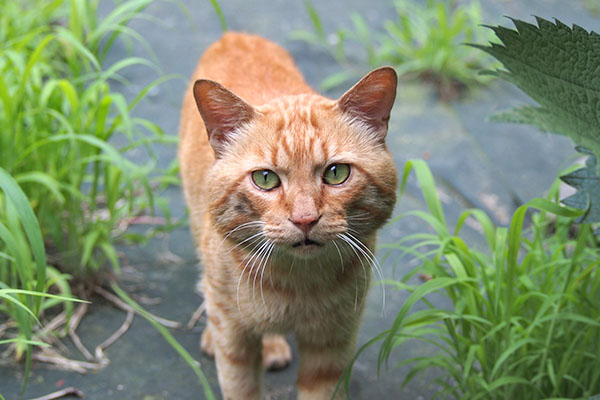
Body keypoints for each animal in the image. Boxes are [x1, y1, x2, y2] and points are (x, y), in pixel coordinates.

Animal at [178, 32, 398, 398]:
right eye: (265, 179)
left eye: (336, 173)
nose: (305, 219)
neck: (297, 285)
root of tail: (234, 35)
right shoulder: (234, 342)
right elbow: (240, 385)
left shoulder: (333, 344)